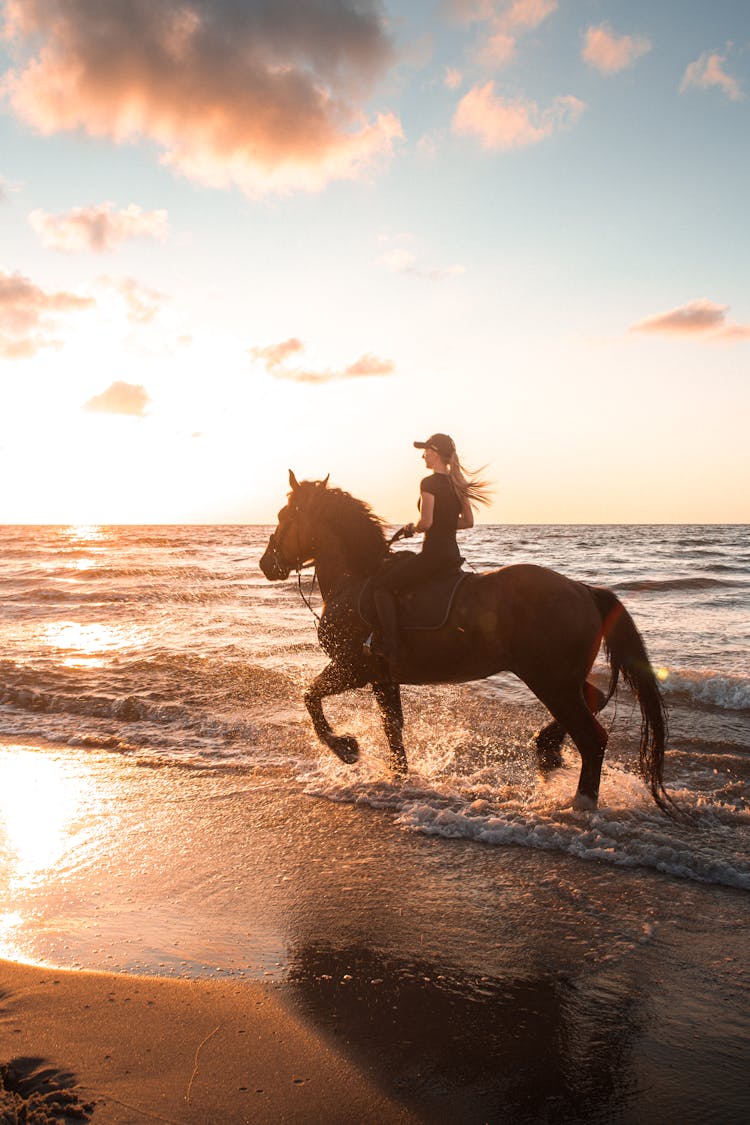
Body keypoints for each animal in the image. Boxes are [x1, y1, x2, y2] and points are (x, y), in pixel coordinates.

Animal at [260, 470, 670, 814]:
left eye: (283, 516)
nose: (267, 564)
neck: (355, 578)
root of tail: (583, 590)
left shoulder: (352, 668)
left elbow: (311, 699)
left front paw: (346, 749)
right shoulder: (382, 677)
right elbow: (393, 728)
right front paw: (398, 777)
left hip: (550, 681)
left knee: (592, 738)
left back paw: (580, 803)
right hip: (563, 680)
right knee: (595, 700)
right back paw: (547, 752)